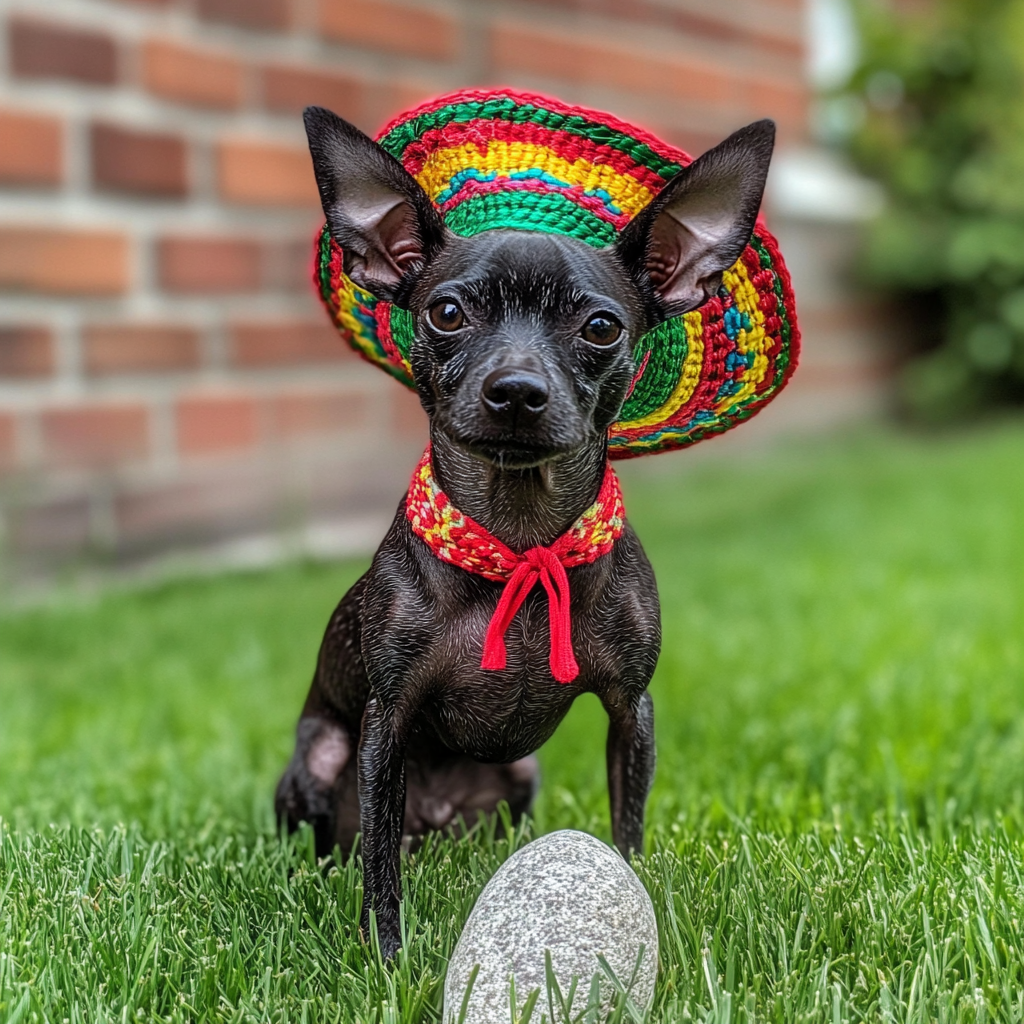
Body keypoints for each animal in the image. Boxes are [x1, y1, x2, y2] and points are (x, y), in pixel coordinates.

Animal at [276, 105, 770, 958]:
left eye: (601, 327)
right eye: (446, 312)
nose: (515, 389)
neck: (521, 539)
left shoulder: (631, 711)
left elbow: (628, 829)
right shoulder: (385, 725)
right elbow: (378, 863)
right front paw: (386, 957)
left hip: (520, 777)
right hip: (323, 755)